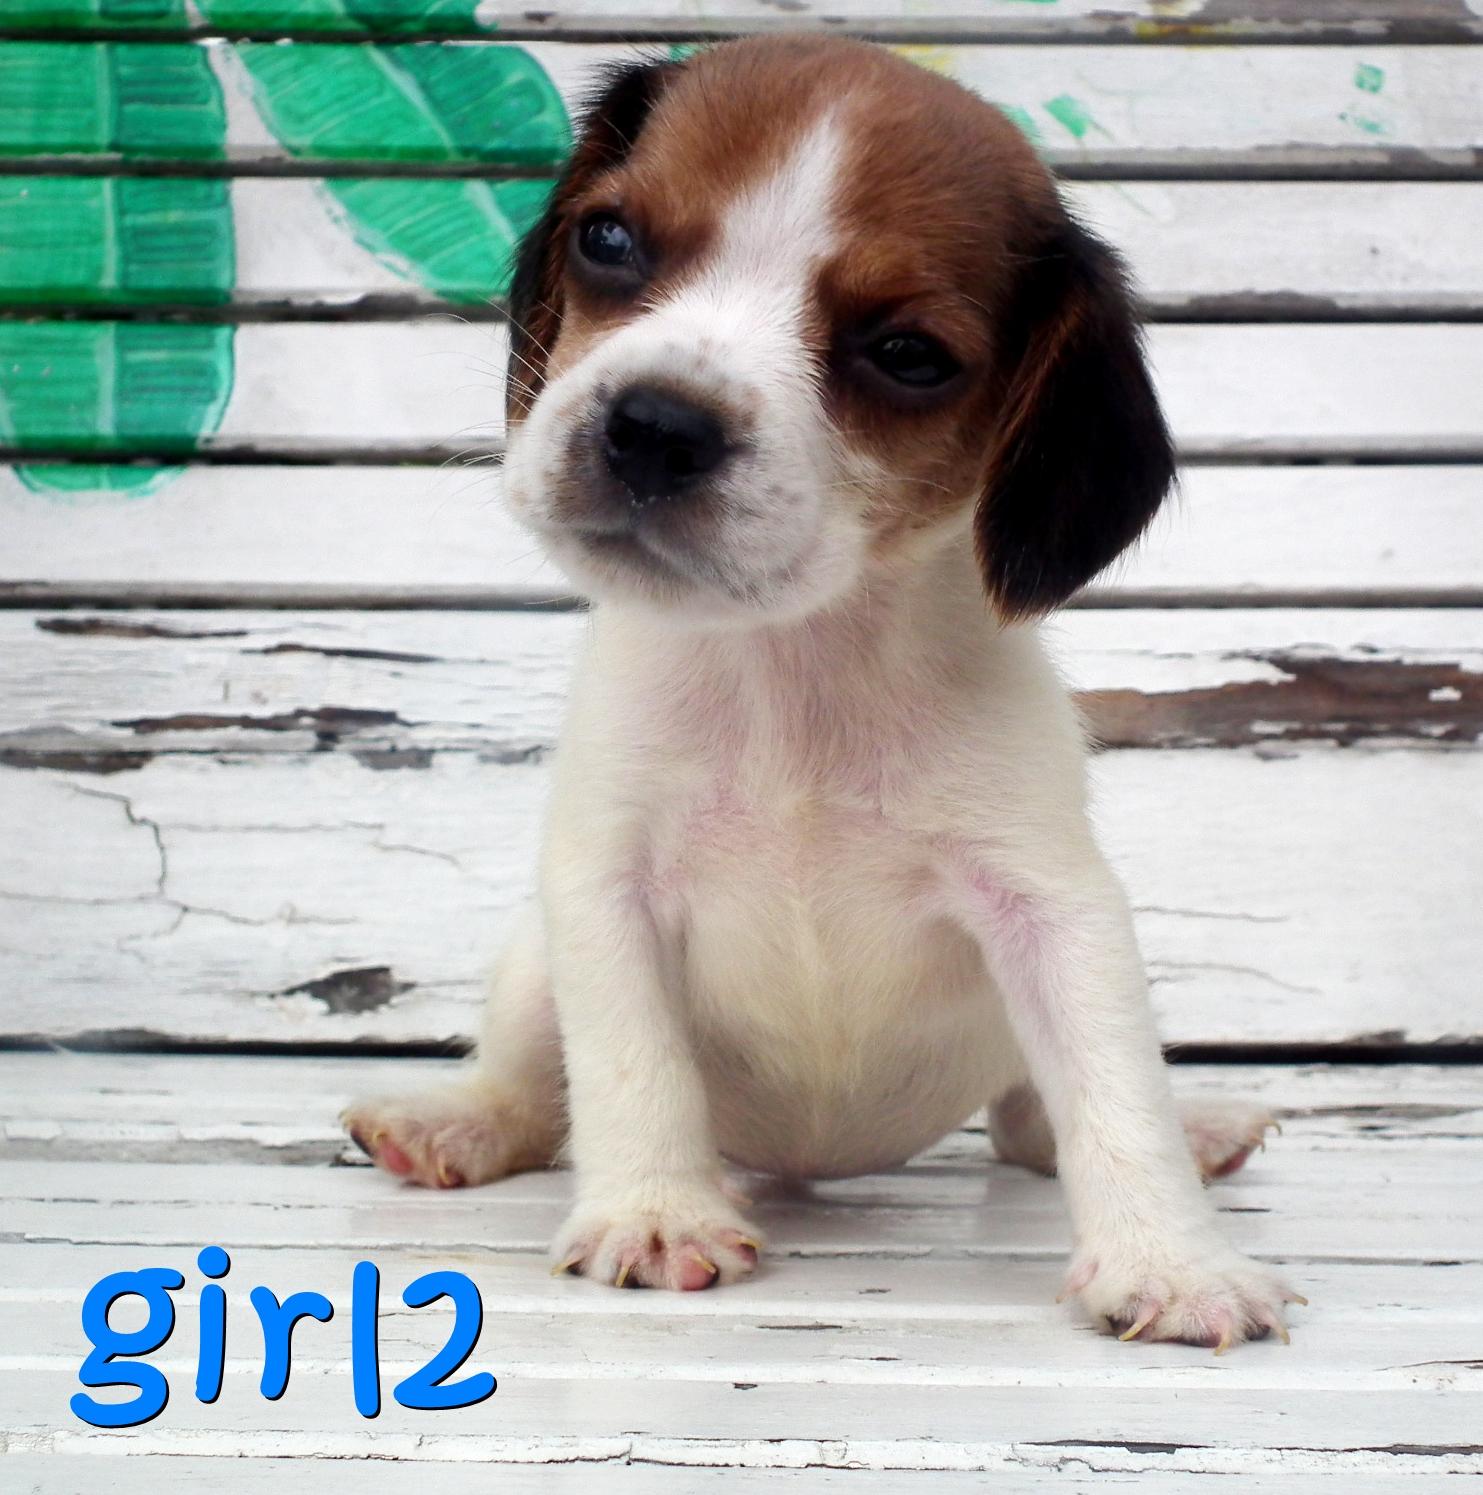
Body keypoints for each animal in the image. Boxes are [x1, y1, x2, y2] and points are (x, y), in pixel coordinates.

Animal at [345, 36, 1302, 1350]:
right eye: (609, 239)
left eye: (905, 355)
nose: (654, 425)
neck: (792, 667)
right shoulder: (604, 890)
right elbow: (631, 1069)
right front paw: (656, 1211)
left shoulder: (1052, 911)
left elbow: (1115, 1098)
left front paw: (1172, 1259)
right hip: (535, 970)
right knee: (534, 1089)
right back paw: (456, 1121)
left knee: (1029, 1119)